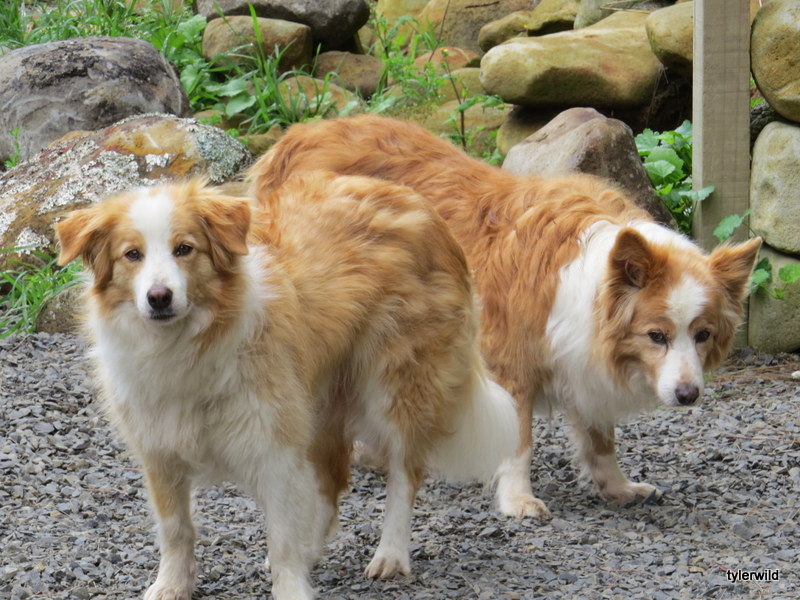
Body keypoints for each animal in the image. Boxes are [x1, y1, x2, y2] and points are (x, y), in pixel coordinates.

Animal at [56, 172, 518, 600]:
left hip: (396, 386)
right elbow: (176, 530)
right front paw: (170, 587)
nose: (159, 297)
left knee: (404, 474)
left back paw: (390, 554)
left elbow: (281, 537)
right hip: (315, 405)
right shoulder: (160, 447)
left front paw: (291, 587)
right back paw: (314, 549)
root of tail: (415, 201)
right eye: (132, 254)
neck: (186, 346)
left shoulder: (271, 446)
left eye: (184, 249)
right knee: (331, 482)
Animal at [247, 114, 762, 519]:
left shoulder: (582, 358)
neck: (592, 277)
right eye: (656, 335)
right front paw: (517, 500)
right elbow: (519, 441)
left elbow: (600, 438)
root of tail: (294, 136)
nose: (689, 395)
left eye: (703, 334)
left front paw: (616, 487)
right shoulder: (511, 361)